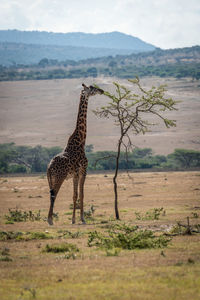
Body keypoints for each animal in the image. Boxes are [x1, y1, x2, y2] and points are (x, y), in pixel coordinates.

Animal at [46, 83, 103, 224]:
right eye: (92, 88)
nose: (102, 90)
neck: (81, 141)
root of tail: (49, 168)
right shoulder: (83, 170)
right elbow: (81, 194)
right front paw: (81, 218)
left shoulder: (74, 175)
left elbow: (74, 195)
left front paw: (73, 219)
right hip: (59, 177)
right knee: (54, 194)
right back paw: (49, 220)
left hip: (51, 178)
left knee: (51, 194)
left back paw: (50, 218)